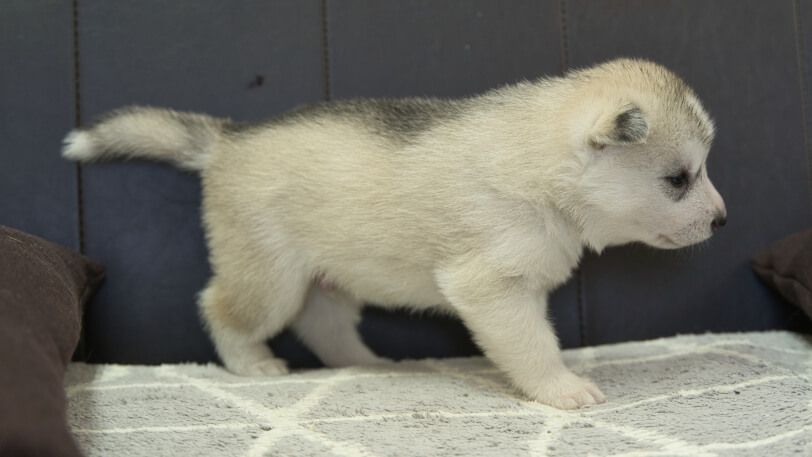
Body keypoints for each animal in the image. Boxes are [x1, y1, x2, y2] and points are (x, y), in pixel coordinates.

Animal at [61, 58, 724, 408]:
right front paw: (561, 388)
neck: (542, 170)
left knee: (324, 326)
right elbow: (534, 346)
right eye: (678, 179)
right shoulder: (494, 290)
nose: (722, 220)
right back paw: (252, 364)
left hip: (327, 280)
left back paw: (369, 363)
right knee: (220, 306)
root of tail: (228, 139)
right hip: (269, 279)